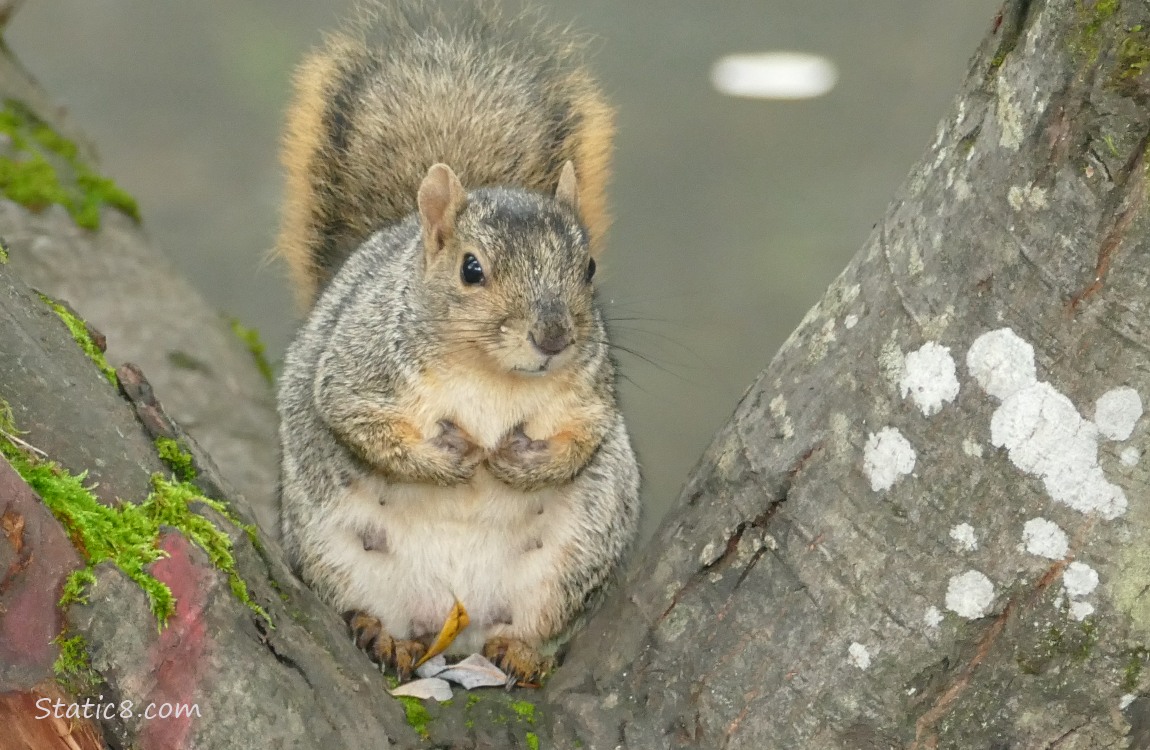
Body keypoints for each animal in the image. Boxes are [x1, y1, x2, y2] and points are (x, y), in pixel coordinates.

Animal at [274, 0, 644, 680]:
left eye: (588, 268)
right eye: (472, 269)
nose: (553, 337)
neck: (490, 375)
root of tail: (455, 620)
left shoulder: (589, 394)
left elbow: (584, 438)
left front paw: (518, 461)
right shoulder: (359, 368)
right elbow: (358, 422)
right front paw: (453, 458)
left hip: (570, 564)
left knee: (536, 624)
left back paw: (522, 653)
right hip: (337, 558)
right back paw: (384, 636)